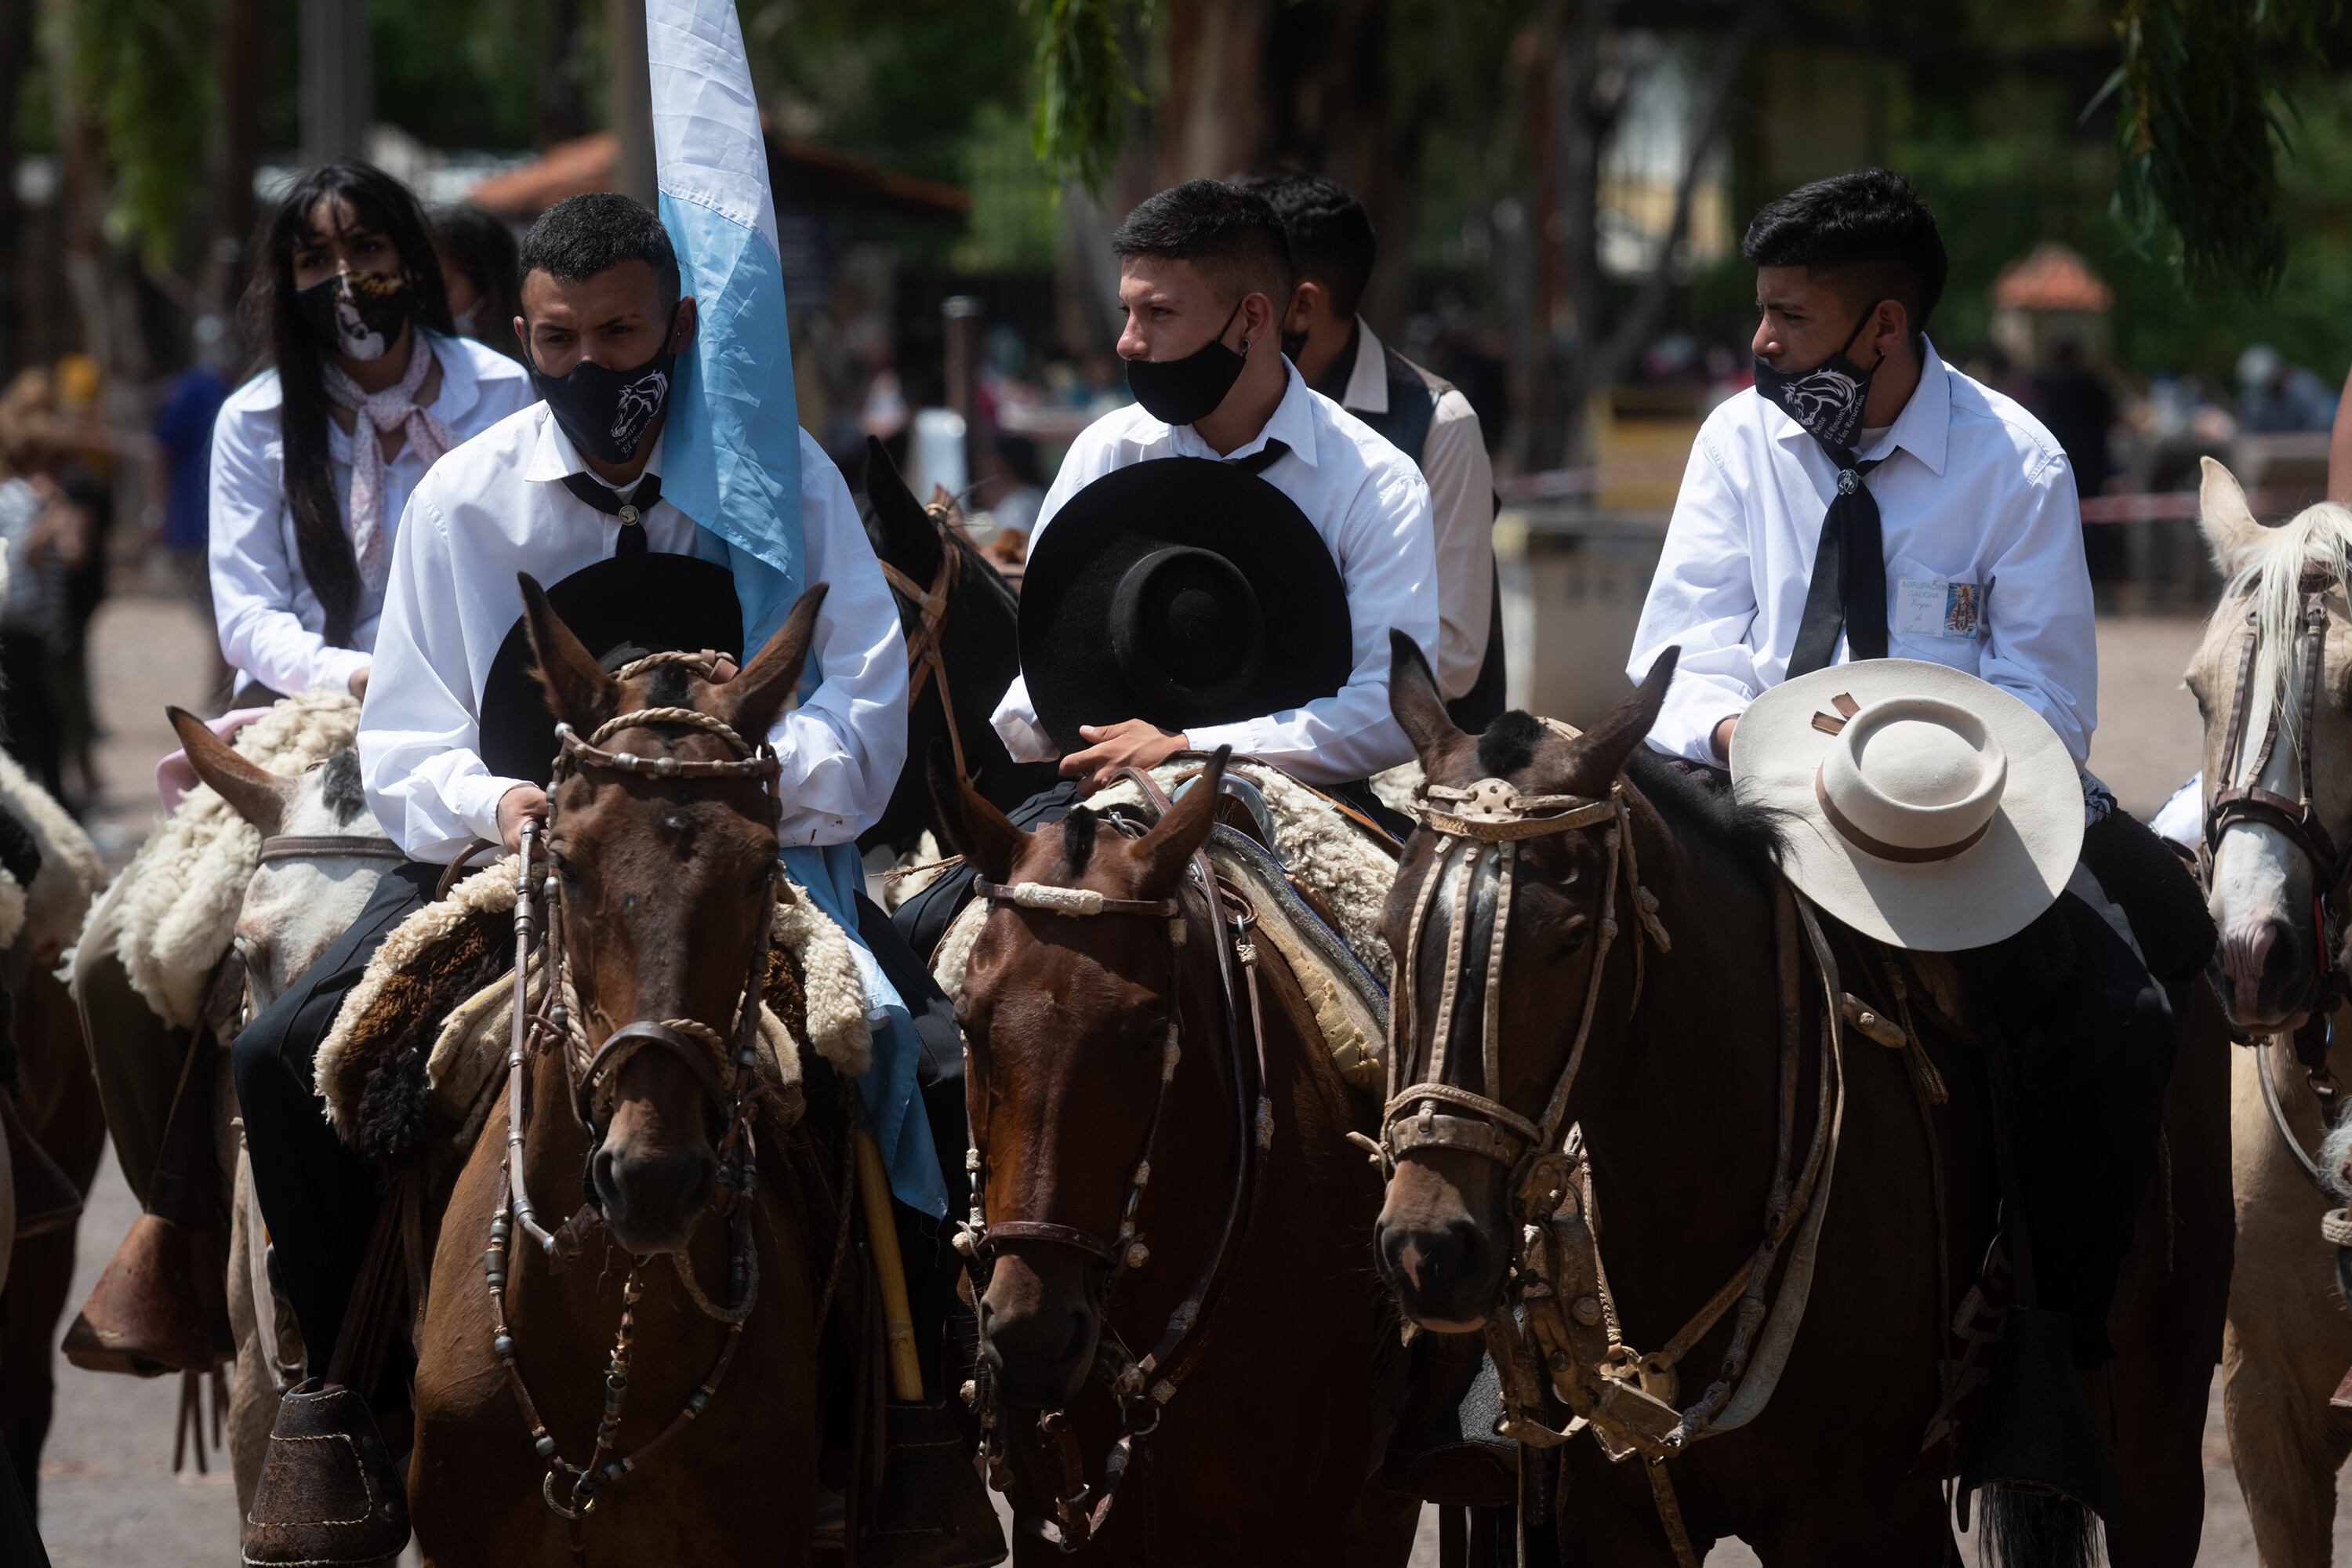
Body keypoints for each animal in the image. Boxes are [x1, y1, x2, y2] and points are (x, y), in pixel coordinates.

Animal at [1364, 639, 2220, 1568]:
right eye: (1390, 927)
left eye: (1569, 939)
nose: (1429, 1248)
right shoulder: (1608, 1520)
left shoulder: (1863, 1520)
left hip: (2160, 1439)